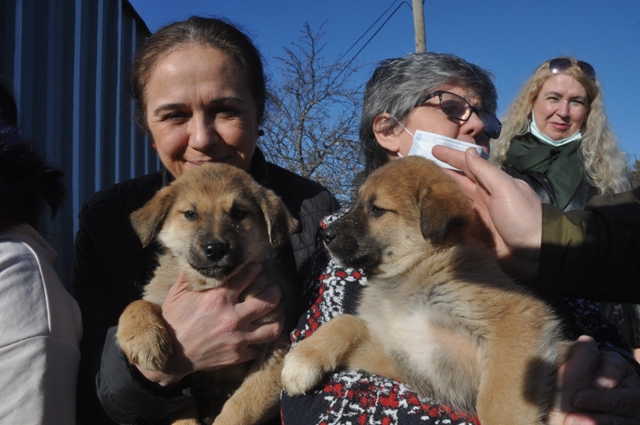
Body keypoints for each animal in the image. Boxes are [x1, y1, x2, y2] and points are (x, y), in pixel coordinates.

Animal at [116, 162, 298, 424]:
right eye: (190, 214)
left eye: (238, 213)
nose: (216, 249)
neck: (208, 284)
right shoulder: (160, 296)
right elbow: (136, 305)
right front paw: (145, 340)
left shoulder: (276, 343)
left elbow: (244, 403)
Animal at [282, 156, 572, 424]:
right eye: (355, 204)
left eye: (376, 209)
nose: (325, 234)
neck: (412, 270)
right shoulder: (400, 357)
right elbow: (347, 322)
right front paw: (301, 360)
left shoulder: (517, 320)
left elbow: (499, 403)